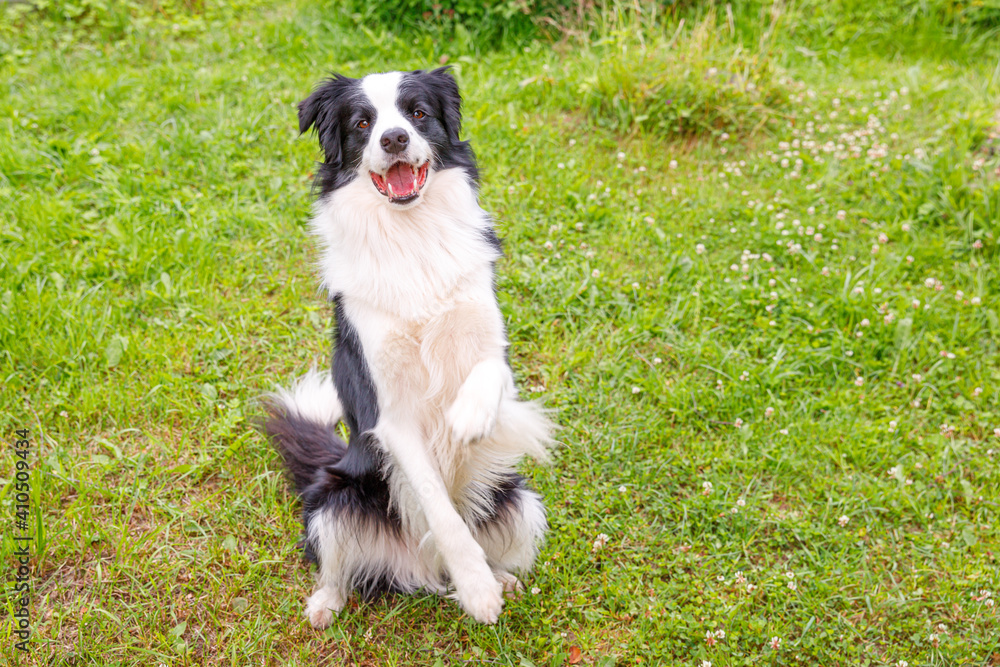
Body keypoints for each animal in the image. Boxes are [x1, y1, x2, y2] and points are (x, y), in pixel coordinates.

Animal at [266, 68, 556, 628]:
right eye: (362, 123)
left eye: (417, 113)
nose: (394, 139)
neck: (412, 236)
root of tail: (423, 570)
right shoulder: (390, 411)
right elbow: (439, 506)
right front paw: (477, 590)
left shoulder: (491, 343)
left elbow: (488, 374)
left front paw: (466, 418)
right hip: (334, 499)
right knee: (336, 567)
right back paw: (326, 604)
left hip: (519, 499)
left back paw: (504, 577)